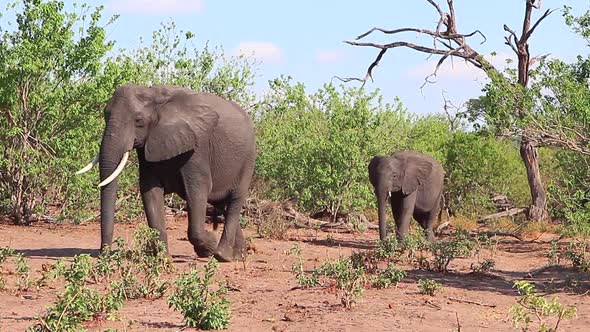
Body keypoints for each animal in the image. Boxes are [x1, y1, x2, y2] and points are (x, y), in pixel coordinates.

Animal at [77, 85, 256, 262]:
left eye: (138, 120)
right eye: (105, 115)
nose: (104, 254)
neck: (155, 95)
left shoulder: (197, 147)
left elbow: (198, 190)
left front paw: (209, 244)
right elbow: (150, 191)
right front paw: (163, 259)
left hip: (247, 160)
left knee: (234, 201)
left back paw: (222, 255)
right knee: (222, 204)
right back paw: (238, 256)